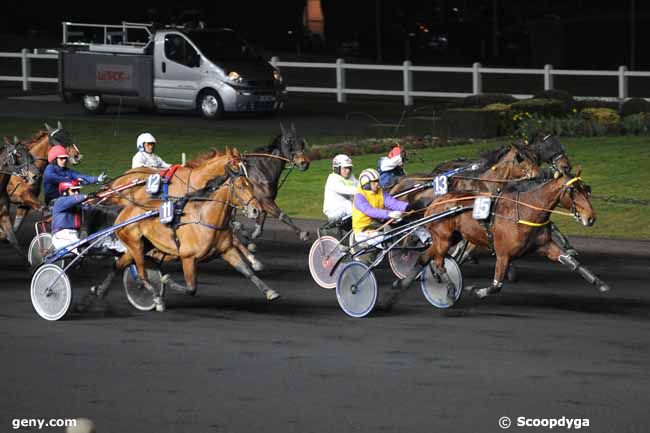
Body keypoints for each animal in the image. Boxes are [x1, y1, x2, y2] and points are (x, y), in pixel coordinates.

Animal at [88, 163, 274, 310]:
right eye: (241, 187)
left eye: (251, 185)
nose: (256, 210)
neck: (204, 217)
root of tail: (125, 211)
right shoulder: (188, 258)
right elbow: (191, 289)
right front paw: (166, 280)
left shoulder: (226, 250)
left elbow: (248, 272)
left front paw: (269, 291)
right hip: (135, 245)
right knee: (141, 273)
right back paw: (156, 297)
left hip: (142, 245)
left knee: (119, 264)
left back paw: (100, 290)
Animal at [384, 167, 604, 308]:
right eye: (573, 190)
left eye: (586, 188)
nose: (591, 217)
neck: (525, 211)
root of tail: (436, 202)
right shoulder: (503, 253)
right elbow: (496, 285)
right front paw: (475, 290)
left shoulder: (546, 246)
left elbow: (572, 262)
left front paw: (599, 282)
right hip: (443, 239)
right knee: (438, 263)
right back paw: (449, 290)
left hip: (448, 238)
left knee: (424, 257)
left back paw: (401, 285)